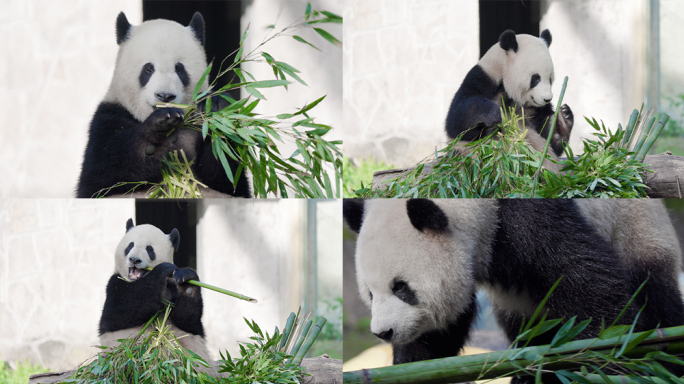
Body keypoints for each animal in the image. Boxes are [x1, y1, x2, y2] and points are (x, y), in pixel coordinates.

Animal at [77, 12, 251, 198]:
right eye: (148, 69)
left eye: (179, 69)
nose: (165, 96)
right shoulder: (109, 118)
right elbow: (101, 176)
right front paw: (160, 128)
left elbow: (229, 179)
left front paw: (217, 107)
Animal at [99, 219, 214, 372]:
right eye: (130, 245)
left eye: (149, 249)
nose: (134, 259)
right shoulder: (115, 286)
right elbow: (121, 311)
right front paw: (163, 269)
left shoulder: (172, 289)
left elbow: (188, 321)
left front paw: (186, 281)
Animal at [344, 200, 684, 380]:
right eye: (371, 293)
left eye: (401, 288)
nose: (383, 333)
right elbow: (433, 339)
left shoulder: (524, 217)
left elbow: (591, 286)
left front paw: (608, 361)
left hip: (636, 231)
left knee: (657, 295)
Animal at [446, 30, 576, 161]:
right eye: (536, 78)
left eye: (550, 79)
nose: (547, 99)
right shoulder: (483, 79)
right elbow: (458, 124)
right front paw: (494, 113)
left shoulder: (537, 111)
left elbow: (550, 142)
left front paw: (564, 120)